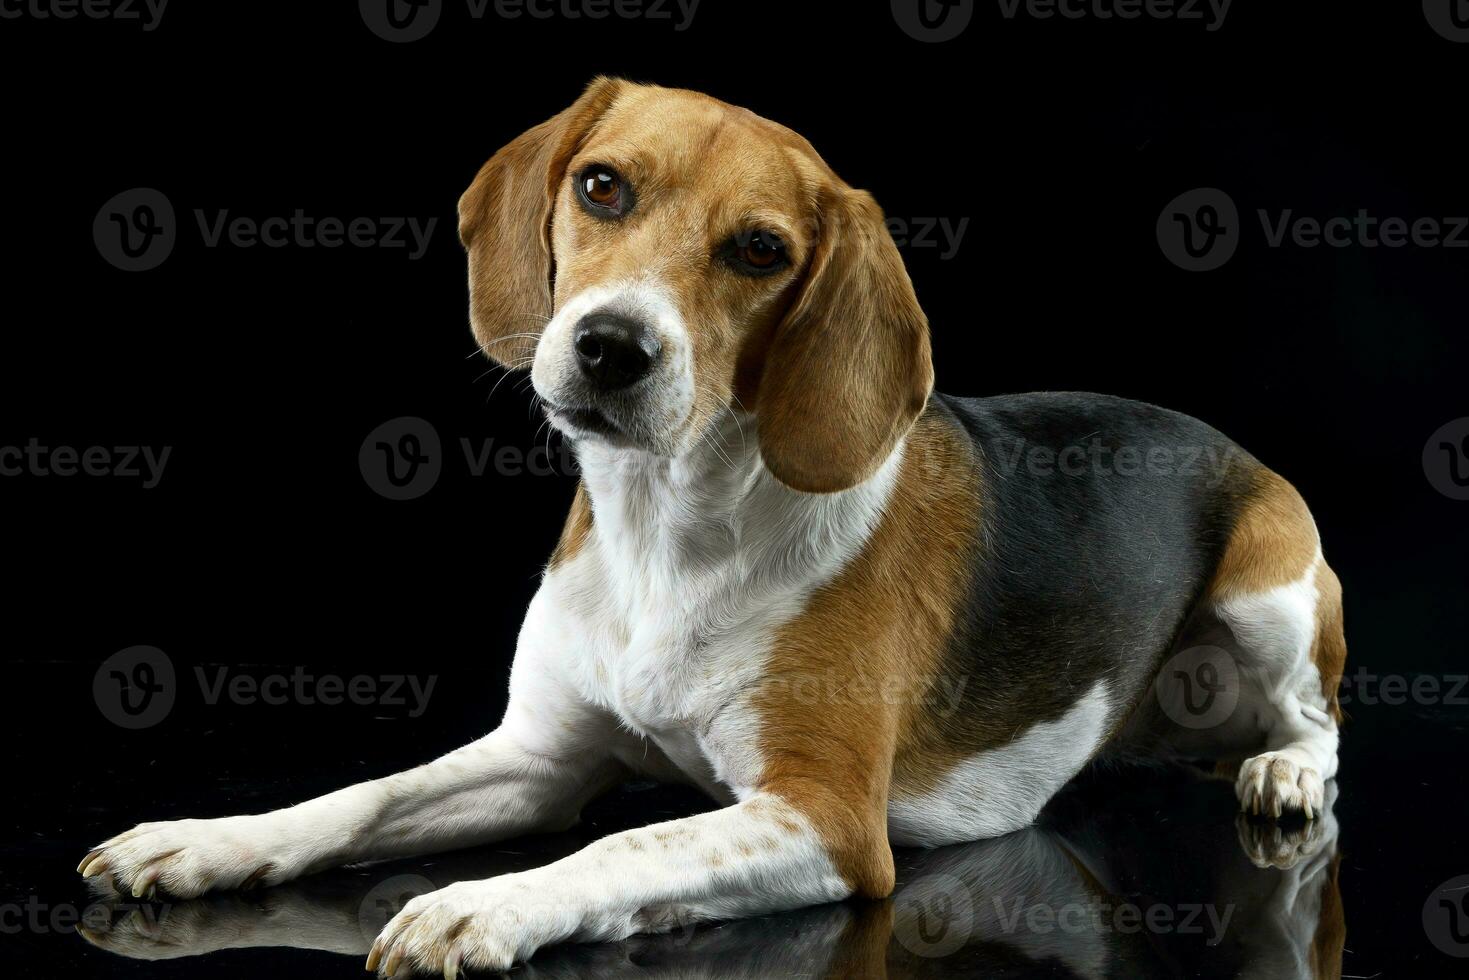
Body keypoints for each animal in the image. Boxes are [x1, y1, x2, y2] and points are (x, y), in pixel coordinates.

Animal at [77, 80, 1345, 975]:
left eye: (759, 250)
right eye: (600, 186)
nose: (610, 346)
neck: (672, 529)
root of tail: (1219, 438)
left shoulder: (827, 818)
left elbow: (618, 844)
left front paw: (482, 901)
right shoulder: (540, 758)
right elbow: (363, 797)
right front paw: (204, 838)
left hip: (1269, 596)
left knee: (1316, 722)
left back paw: (1279, 769)